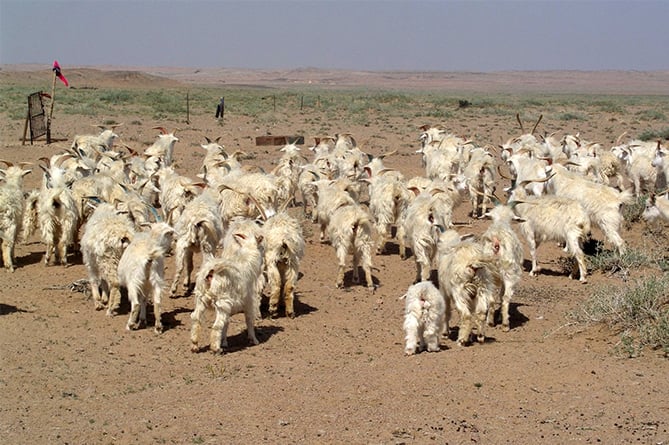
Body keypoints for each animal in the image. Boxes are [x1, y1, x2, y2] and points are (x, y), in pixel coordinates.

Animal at [190, 218, 265, 353]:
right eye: (261, 246)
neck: (247, 260)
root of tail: (211, 272)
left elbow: (227, 324)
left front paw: (224, 342)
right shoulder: (249, 301)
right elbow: (249, 320)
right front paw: (254, 340)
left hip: (201, 298)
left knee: (195, 318)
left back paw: (194, 345)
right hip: (221, 302)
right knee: (216, 325)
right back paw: (216, 348)